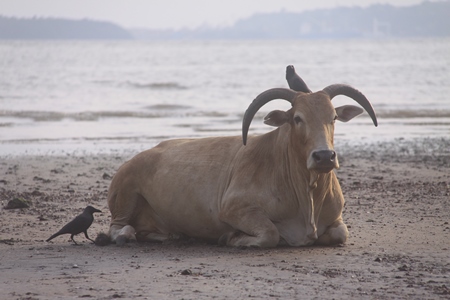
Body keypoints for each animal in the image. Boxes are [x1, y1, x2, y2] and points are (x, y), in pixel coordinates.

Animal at [98, 68, 376, 248]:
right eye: (297, 118)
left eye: (333, 117)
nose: (324, 156)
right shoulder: (233, 209)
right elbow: (270, 234)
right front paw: (231, 238)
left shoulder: (337, 219)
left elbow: (340, 234)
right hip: (125, 195)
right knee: (116, 228)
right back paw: (126, 235)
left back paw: (175, 236)